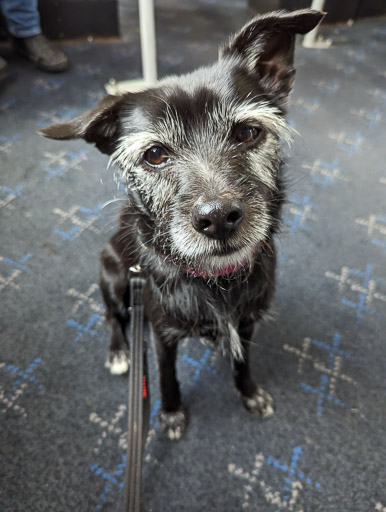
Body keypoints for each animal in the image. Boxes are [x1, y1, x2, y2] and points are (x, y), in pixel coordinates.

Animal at [40, 8, 322, 440]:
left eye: (248, 132)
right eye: (155, 154)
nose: (218, 218)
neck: (215, 281)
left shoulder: (247, 321)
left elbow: (244, 361)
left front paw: (249, 392)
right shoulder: (162, 333)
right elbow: (166, 376)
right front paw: (172, 414)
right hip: (112, 274)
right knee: (112, 316)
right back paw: (119, 351)